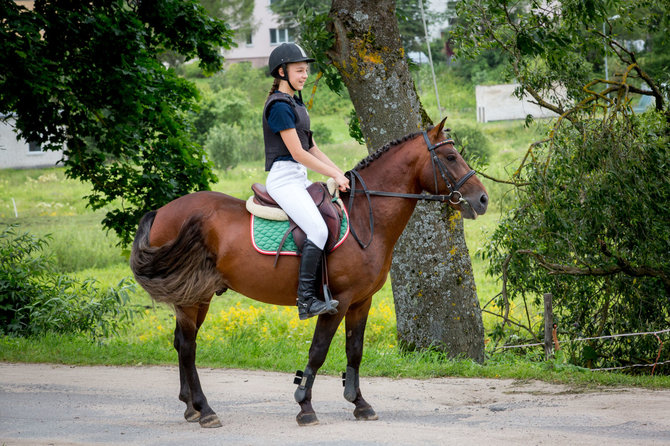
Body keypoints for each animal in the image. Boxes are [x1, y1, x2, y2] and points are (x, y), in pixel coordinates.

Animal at [130, 118, 488, 428]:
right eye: (451, 156)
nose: (482, 199)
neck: (364, 217)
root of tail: (162, 211)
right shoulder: (337, 302)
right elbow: (318, 352)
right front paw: (305, 405)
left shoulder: (361, 302)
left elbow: (354, 351)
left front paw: (360, 404)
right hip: (191, 297)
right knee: (188, 347)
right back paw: (205, 410)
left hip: (197, 296)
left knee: (182, 342)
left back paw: (191, 407)